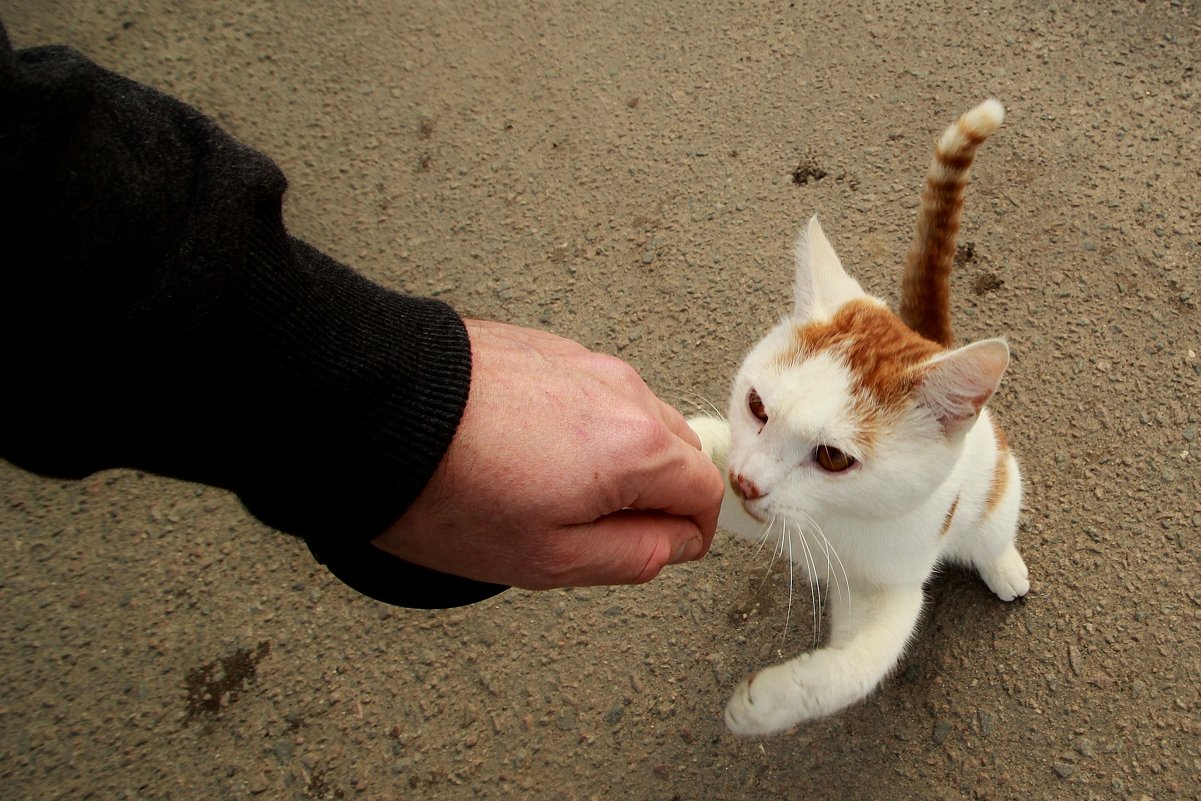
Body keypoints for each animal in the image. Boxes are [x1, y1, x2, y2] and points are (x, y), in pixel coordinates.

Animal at [691, 100, 1028, 739]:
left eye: (832, 457)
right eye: (757, 407)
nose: (746, 482)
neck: (834, 523)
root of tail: (932, 339)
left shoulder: (889, 579)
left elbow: (859, 665)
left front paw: (768, 702)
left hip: (1000, 483)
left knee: (994, 523)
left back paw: (1003, 564)